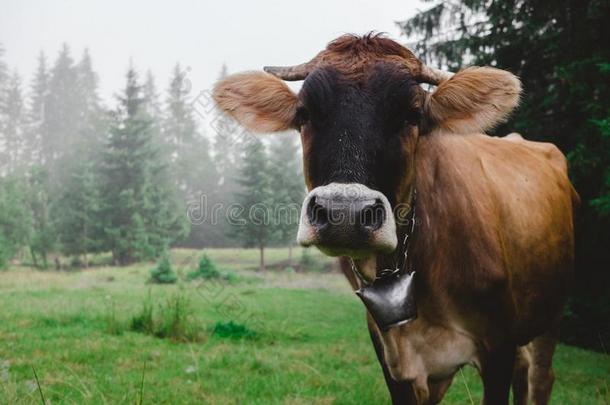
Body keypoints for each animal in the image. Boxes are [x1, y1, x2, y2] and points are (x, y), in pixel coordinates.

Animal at [213, 33, 576, 402]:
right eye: (305, 114)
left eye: (412, 114)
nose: (345, 213)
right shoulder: (391, 353)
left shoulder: (498, 345)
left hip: (551, 312)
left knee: (540, 377)